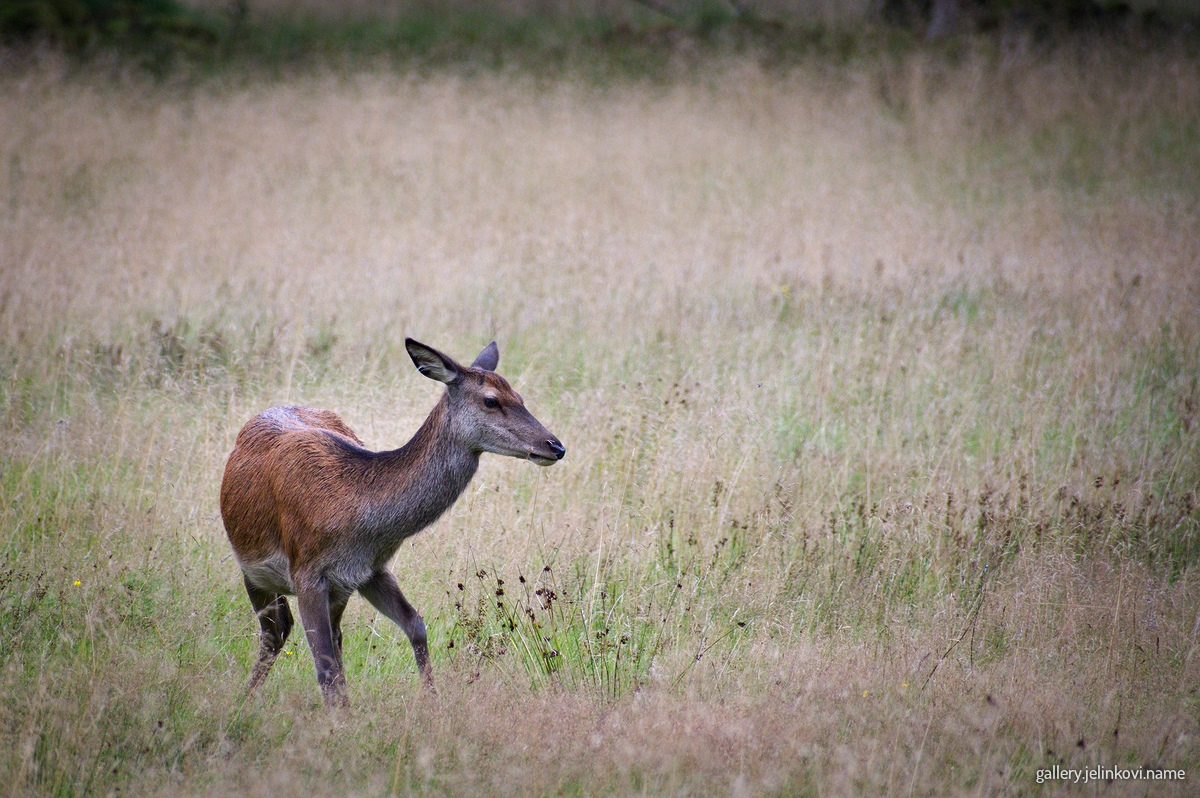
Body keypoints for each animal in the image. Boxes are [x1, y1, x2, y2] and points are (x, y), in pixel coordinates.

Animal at [219, 338, 565, 706]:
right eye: (491, 400)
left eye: (520, 397)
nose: (555, 446)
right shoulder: (307, 571)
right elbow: (325, 668)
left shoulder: (368, 571)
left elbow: (415, 625)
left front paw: (431, 701)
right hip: (252, 568)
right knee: (276, 630)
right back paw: (243, 700)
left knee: (324, 634)